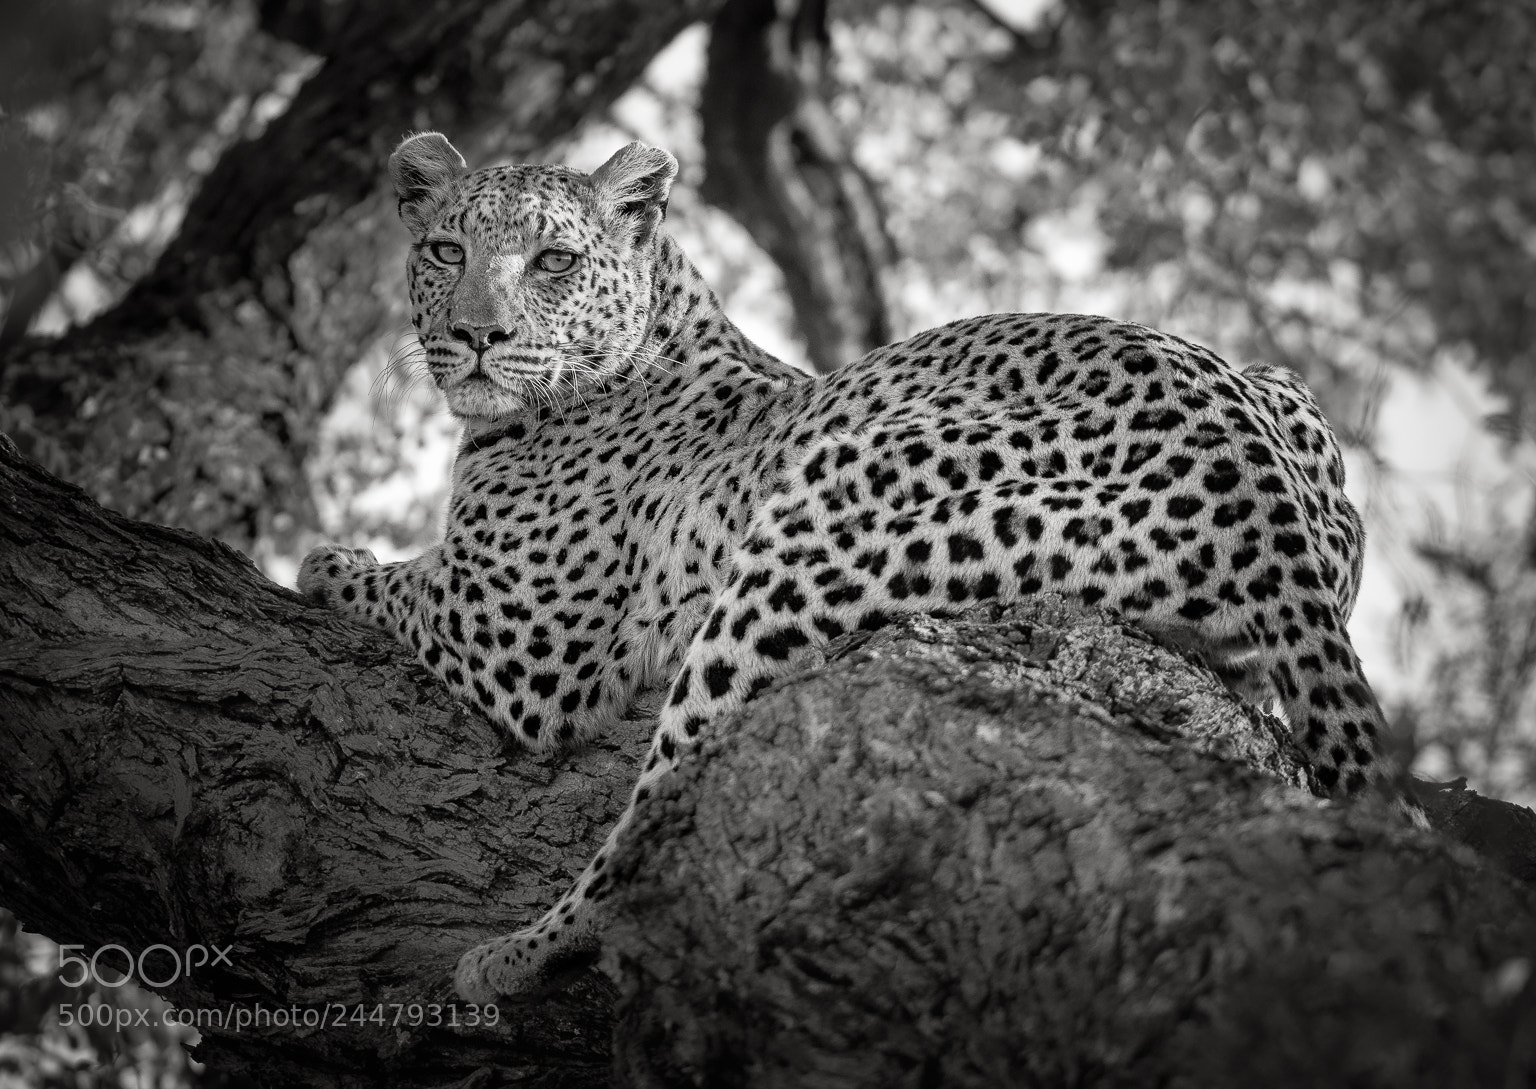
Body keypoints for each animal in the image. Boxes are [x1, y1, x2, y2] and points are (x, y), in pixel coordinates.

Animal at [298, 132, 1404, 1004]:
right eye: (447, 250)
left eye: (553, 260)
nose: (476, 336)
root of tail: (1248, 477)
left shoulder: (514, 645)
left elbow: (381, 581)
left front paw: (327, 558)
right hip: (1285, 395)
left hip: (810, 521)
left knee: (656, 820)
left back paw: (523, 950)